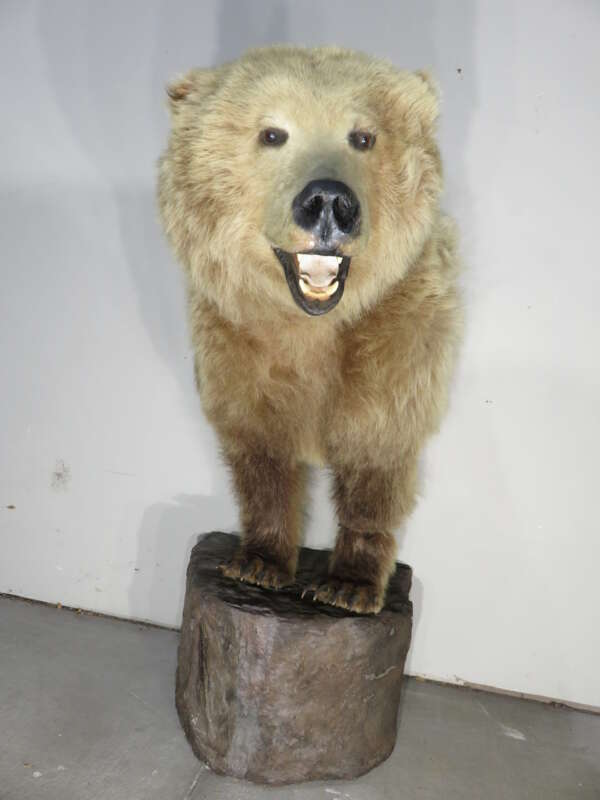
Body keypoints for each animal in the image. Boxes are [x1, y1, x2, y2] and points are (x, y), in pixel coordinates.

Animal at [157, 46, 462, 614]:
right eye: (272, 133)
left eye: (363, 136)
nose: (328, 201)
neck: (312, 328)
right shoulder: (237, 345)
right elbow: (261, 453)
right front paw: (256, 563)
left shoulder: (396, 346)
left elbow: (375, 458)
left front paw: (349, 585)